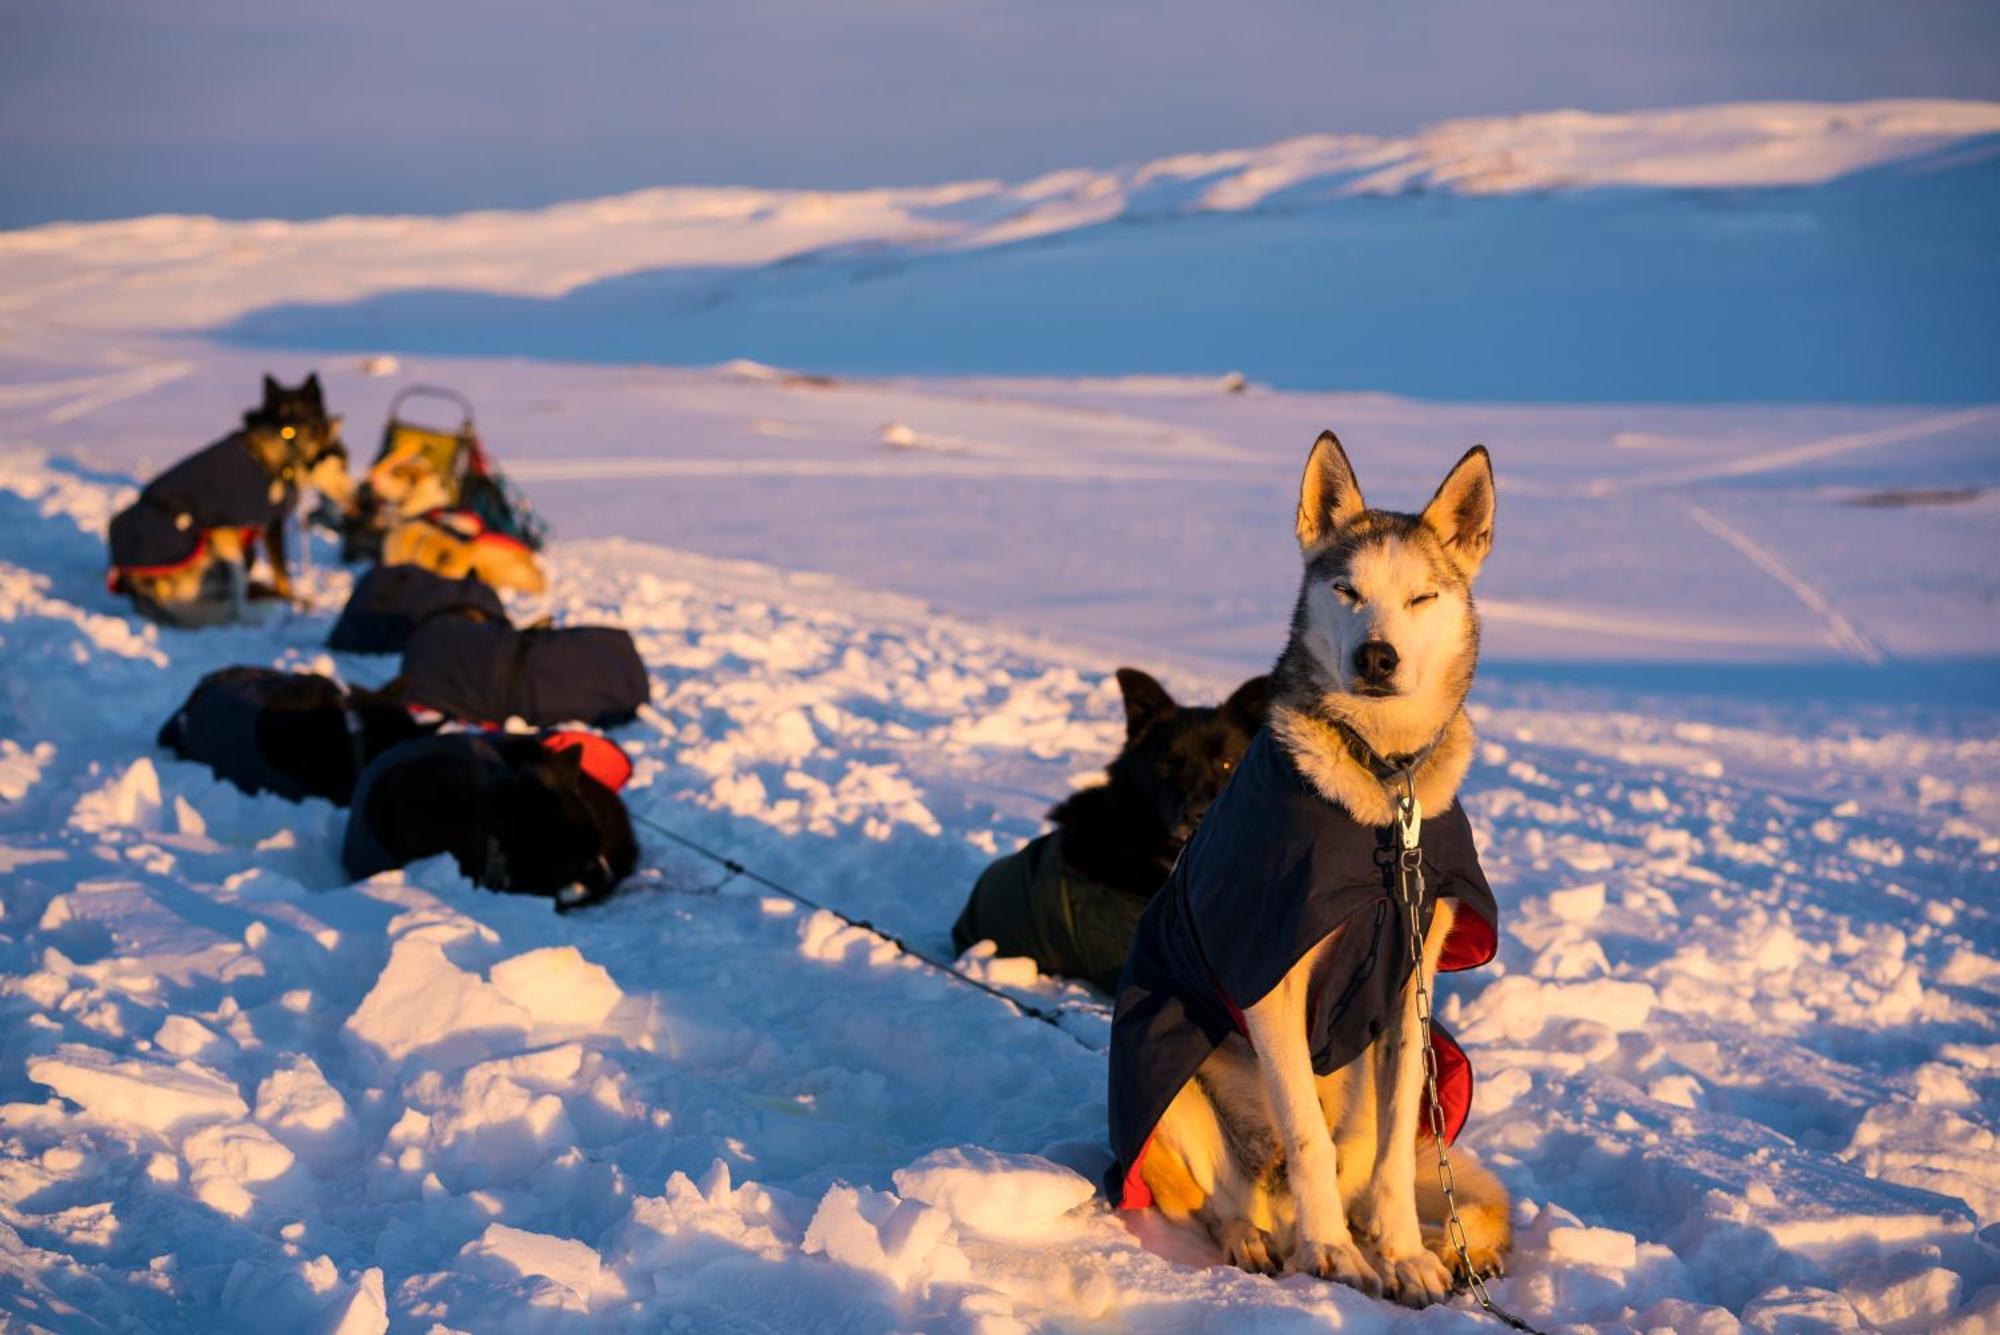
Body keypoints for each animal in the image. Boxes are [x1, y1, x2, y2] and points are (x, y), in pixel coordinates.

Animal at [1104, 435, 1504, 1303]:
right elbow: (1307, 1132)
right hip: (1175, 1089)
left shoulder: (1411, 989)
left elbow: (1394, 1148)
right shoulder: (1270, 976)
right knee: (1223, 1194)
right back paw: (1264, 1237)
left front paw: (1404, 1255)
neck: (1382, 788)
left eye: (1421, 597)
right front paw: (1331, 1255)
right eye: (1347, 589)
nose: (1378, 655)